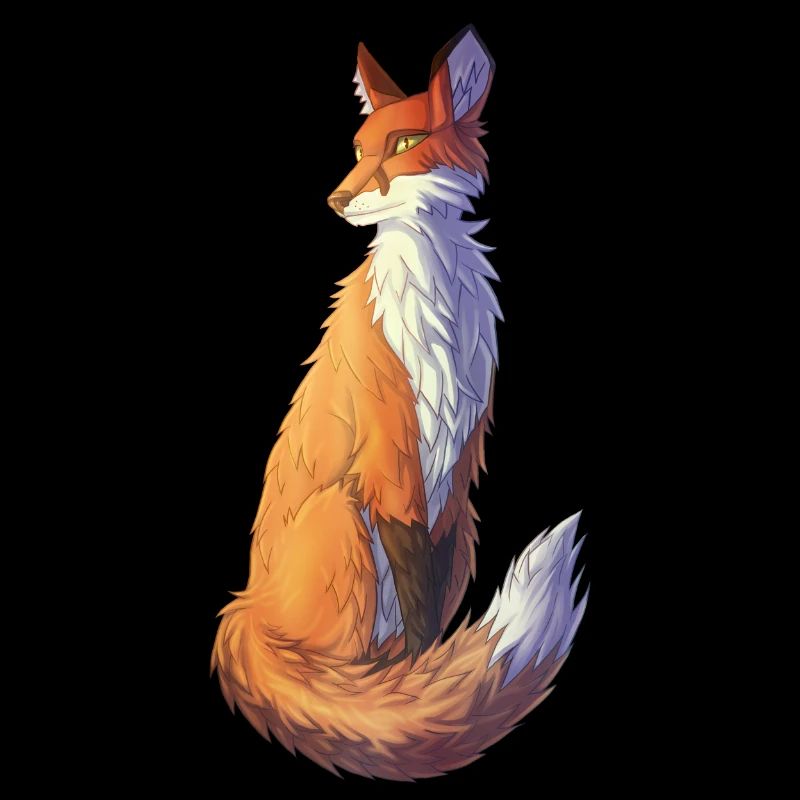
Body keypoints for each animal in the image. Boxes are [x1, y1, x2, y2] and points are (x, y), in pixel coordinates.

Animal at [211, 26, 588, 780]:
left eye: (406, 143)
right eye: (358, 149)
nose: (335, 200)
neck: (436, 320)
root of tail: (244, 607)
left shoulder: (453, 465)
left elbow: (429, 600)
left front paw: (426, 689)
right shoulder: (391, 462)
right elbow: (416, 601)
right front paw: (417, 697)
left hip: (465, 523)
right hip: (341, 516)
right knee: (329, 665)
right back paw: (358, 688)